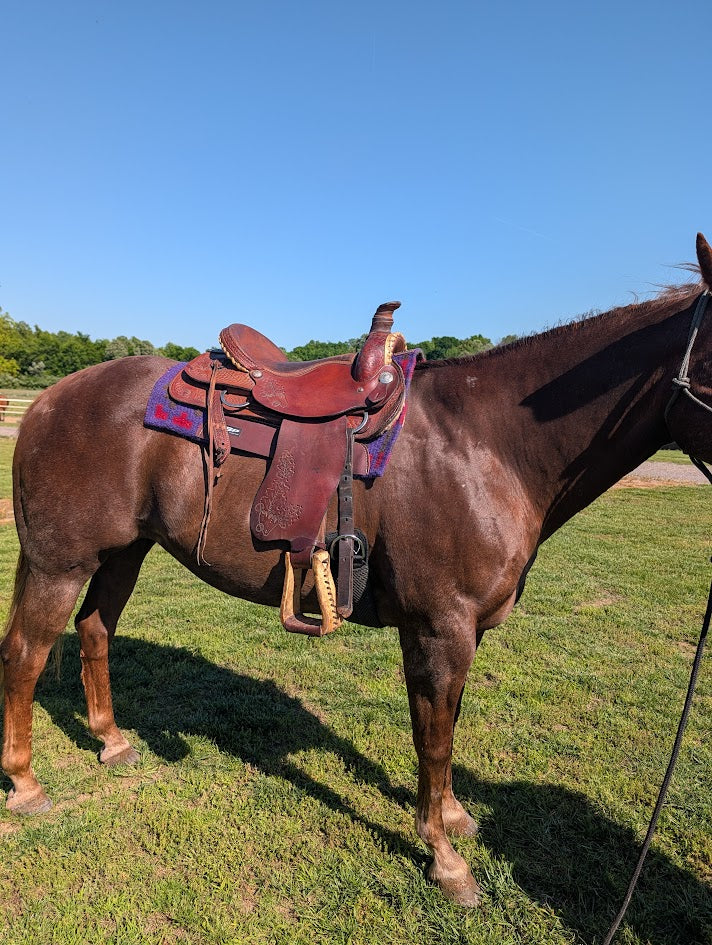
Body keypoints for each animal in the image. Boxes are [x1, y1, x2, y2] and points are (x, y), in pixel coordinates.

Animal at [3, 234, 712, 908]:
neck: (488, 445)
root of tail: (49, 399)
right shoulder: (439, 627)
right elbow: (433, 738)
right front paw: (445, 859)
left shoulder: (464, 632)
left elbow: (447, 727)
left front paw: (453, 816)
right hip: (59, 562)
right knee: (26, 653)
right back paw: (26, 783)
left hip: (124, 553)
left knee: (95, 631)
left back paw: (112, 742)